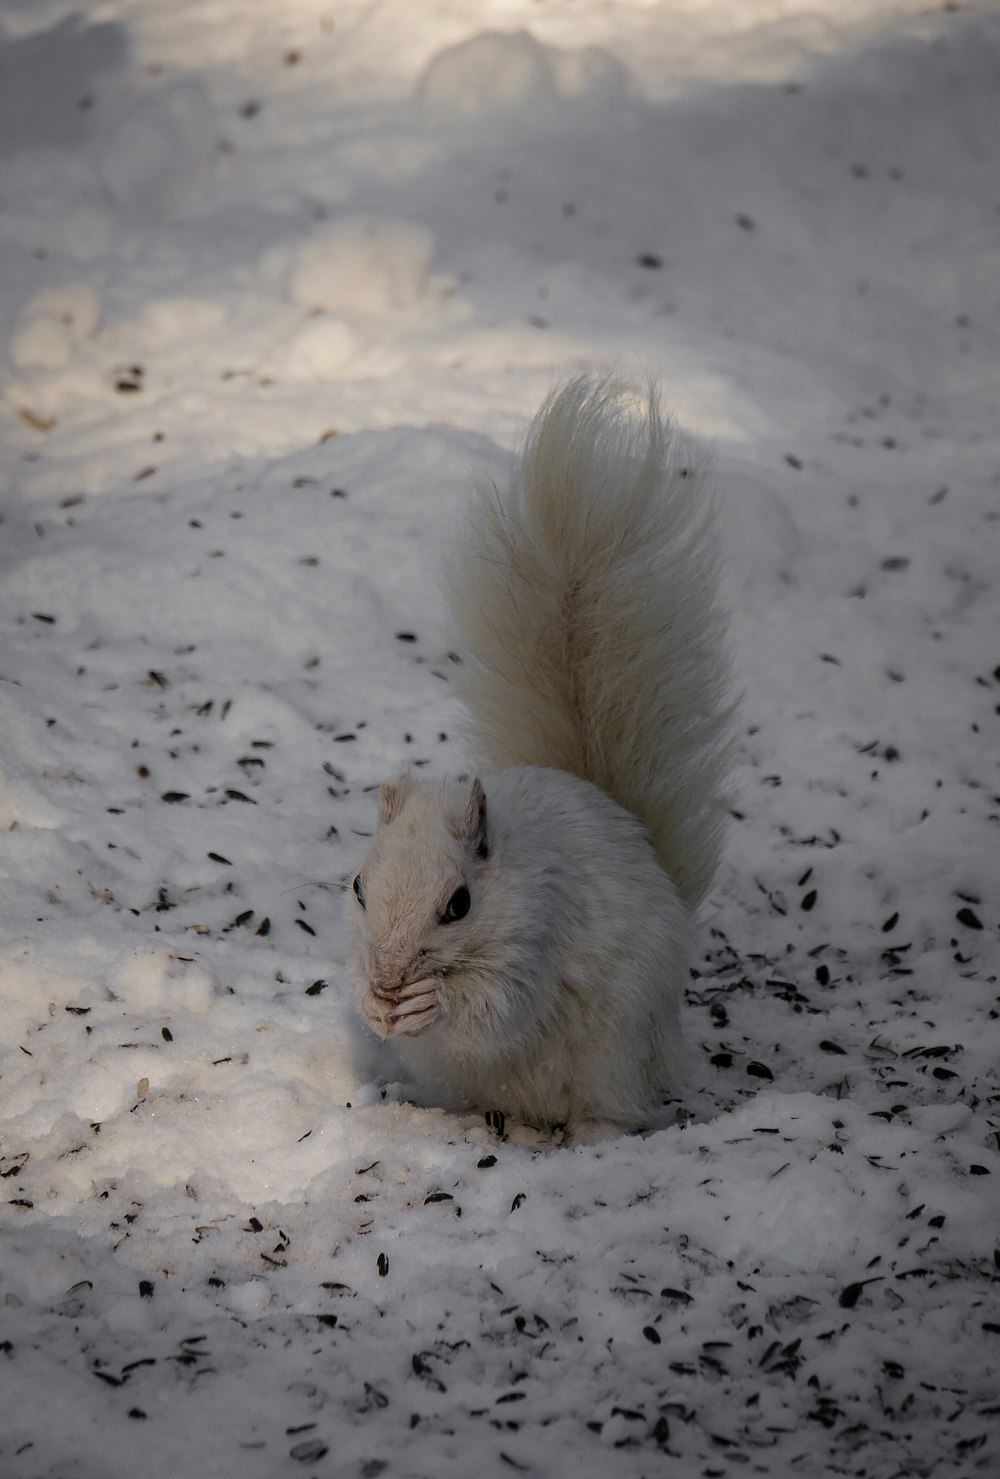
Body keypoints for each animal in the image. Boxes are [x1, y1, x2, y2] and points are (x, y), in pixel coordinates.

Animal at [346, 372, 733, 1141]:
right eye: (358, 888)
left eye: (459, 903)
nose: (393, 977)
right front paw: (375, 1006)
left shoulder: (540, 928)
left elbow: (499, 1008)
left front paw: (432, 1004)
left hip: (616, 1052)